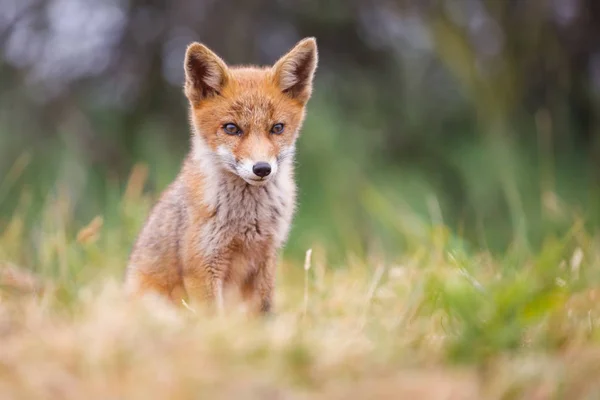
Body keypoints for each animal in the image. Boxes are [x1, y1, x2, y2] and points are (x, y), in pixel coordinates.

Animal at [126, 37, 318, 314]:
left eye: (277, 128)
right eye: (231, 128)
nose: (262, 168)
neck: (248, 221)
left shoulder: (267, 260)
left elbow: (264, 313)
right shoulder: (202, 266)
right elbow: (214, 318)